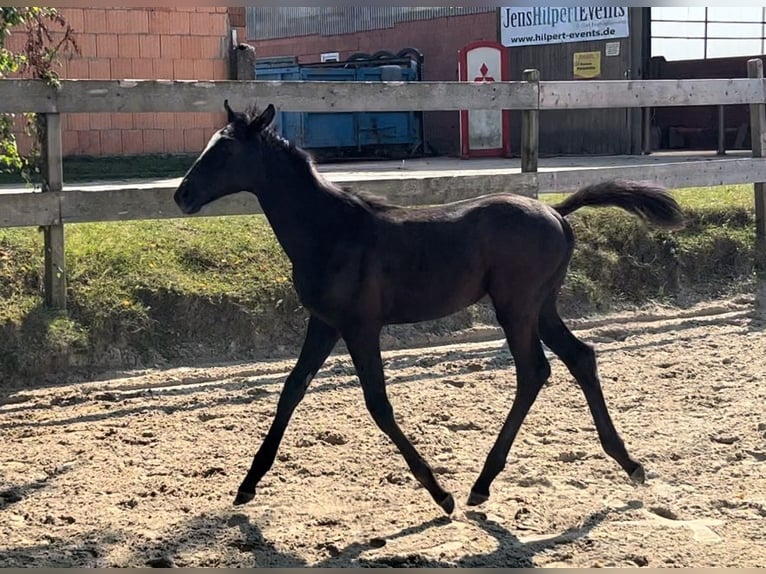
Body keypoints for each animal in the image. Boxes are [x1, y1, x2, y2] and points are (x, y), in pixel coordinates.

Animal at [174, 101, 684, 516]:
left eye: (224, 152)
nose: (181, 195)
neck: (331, 231)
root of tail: (557, 212)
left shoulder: (361, 327)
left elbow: (378, 404)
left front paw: (440, 494)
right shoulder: (324, 324)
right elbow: (291, 390)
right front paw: (246, 485)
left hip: (517, 307)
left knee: (534, 371)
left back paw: (481, 483)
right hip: (541, 306)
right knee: (579, 357)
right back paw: (628, 463)